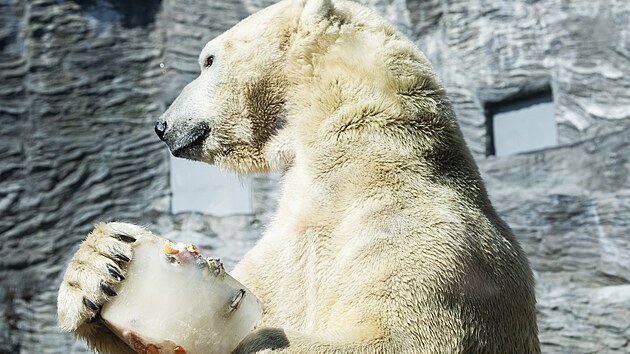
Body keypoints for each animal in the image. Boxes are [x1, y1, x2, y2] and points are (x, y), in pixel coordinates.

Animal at [59, 0, 540, 352]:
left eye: (208, 60)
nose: (161, 125)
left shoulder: (418, 231)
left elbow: (394, 337)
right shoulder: (290, 243)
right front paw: (100, 263)